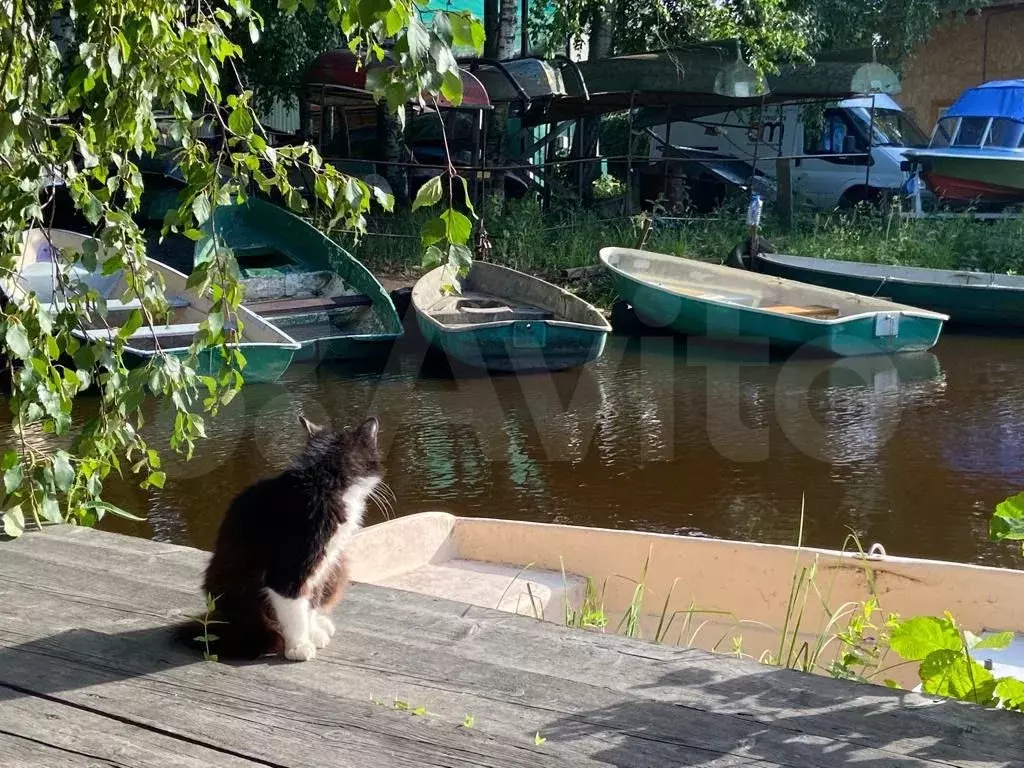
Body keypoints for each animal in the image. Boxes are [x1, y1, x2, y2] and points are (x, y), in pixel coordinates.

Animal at [200, 415, 385, 663]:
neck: (322, 483)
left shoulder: (322, 565)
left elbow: (311, 602)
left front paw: (313, 632)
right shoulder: (288, 570)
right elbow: (295, 609)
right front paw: (299, 646)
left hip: (337, 568)